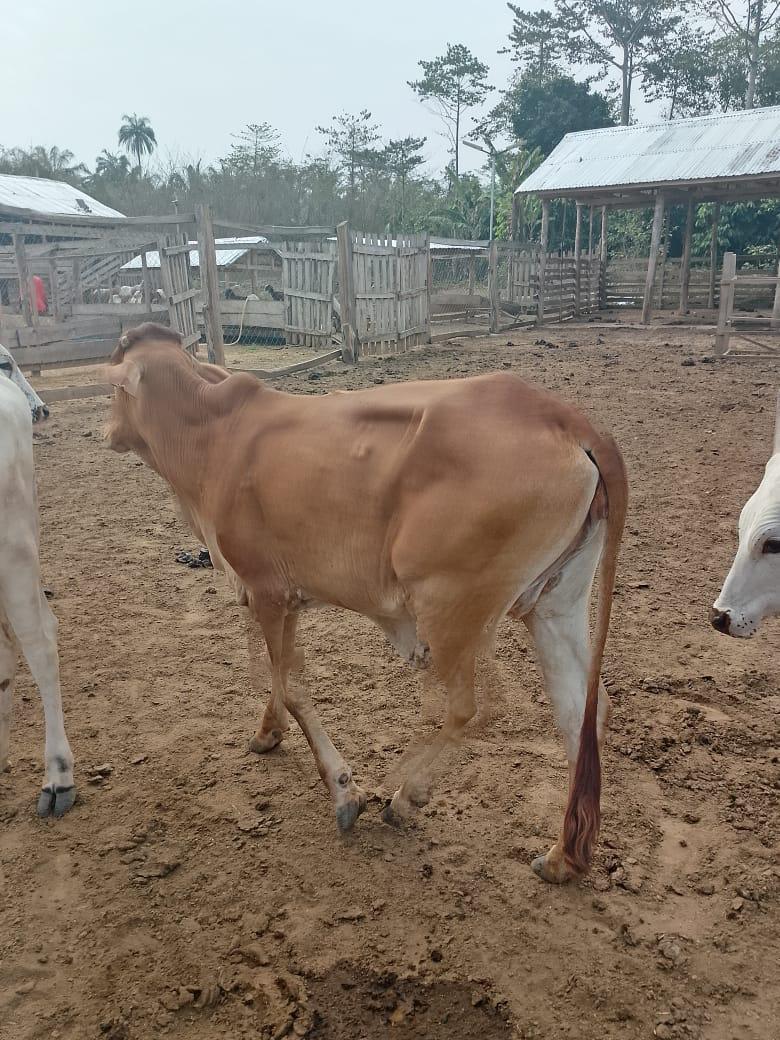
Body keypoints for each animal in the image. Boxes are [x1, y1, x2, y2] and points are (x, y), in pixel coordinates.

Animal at [103, 323, 627, 884]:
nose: (105, 431)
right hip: (554, 605)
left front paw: (344, 792)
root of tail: (565, 417)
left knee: (472, 707)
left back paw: (404, 797)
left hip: (452, 606)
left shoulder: (267, 591)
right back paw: (563, 855)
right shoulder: (285, 598)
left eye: (114, 389)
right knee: (583, 710)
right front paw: (268, 734)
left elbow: (291, 686)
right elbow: (276, 680)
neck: (214, 435)